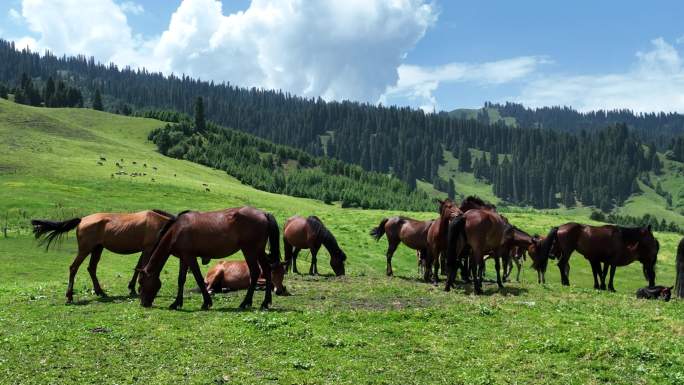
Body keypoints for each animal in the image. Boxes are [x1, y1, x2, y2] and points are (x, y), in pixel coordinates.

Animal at [31, 208, 176, 302]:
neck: (160, 224)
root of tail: (81, 220)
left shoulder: (145, 250)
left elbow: (138, 267)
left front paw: (132, 288)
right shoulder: (148, 249)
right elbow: (142, 268)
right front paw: (138, 289)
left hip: (97, 249)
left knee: (91, 268)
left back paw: (100, 292)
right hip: (85, 250)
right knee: (74, 268)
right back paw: (69, 296)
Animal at [139, 207, 280, 308]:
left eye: (141, 282)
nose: (143, 303)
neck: (176, 230)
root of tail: (263, 213)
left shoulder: (190, 257)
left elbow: (199, 279)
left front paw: (206, 302)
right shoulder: (183, 258)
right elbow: (181, 280)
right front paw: (176, 303)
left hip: (250, 251)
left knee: (255, 272)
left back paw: (246, 302)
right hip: (259, 251)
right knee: (267, 270)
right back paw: (265, 302)